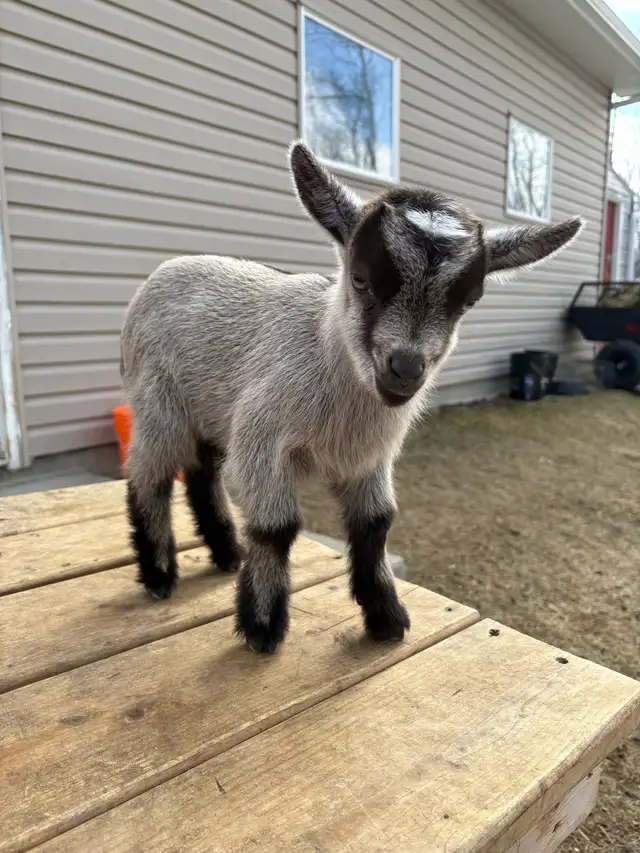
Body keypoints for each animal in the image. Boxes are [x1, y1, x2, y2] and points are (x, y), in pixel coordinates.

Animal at [120, 140, 583, 653]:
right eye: (360, 278)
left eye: (468, 301)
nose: (406, 369)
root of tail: (166, 268)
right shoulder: (262, 439)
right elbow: (277, 527)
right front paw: (262, 628)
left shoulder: (370, 457)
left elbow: (376, 524)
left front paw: (386, 618)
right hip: (159, 398)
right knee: (150, 474)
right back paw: (160, 575)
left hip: (211, 410)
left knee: (202, 471)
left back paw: (226, 552)